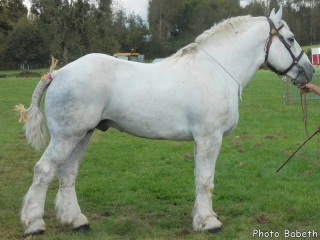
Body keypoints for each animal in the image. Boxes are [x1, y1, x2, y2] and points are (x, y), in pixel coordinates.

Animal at [16, 7, 312, 236]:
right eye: (291, 38)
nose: (309, 71)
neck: (217, 70)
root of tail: (58, 73)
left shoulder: (201, 140)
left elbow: (199, 180)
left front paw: (201, 218)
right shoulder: (209, 138)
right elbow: (205, 180)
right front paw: (209, 222)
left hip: (82, 134)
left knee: (67, 174)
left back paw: (76, 221)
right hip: (67, 136)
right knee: (44, 171)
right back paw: (34, 224)